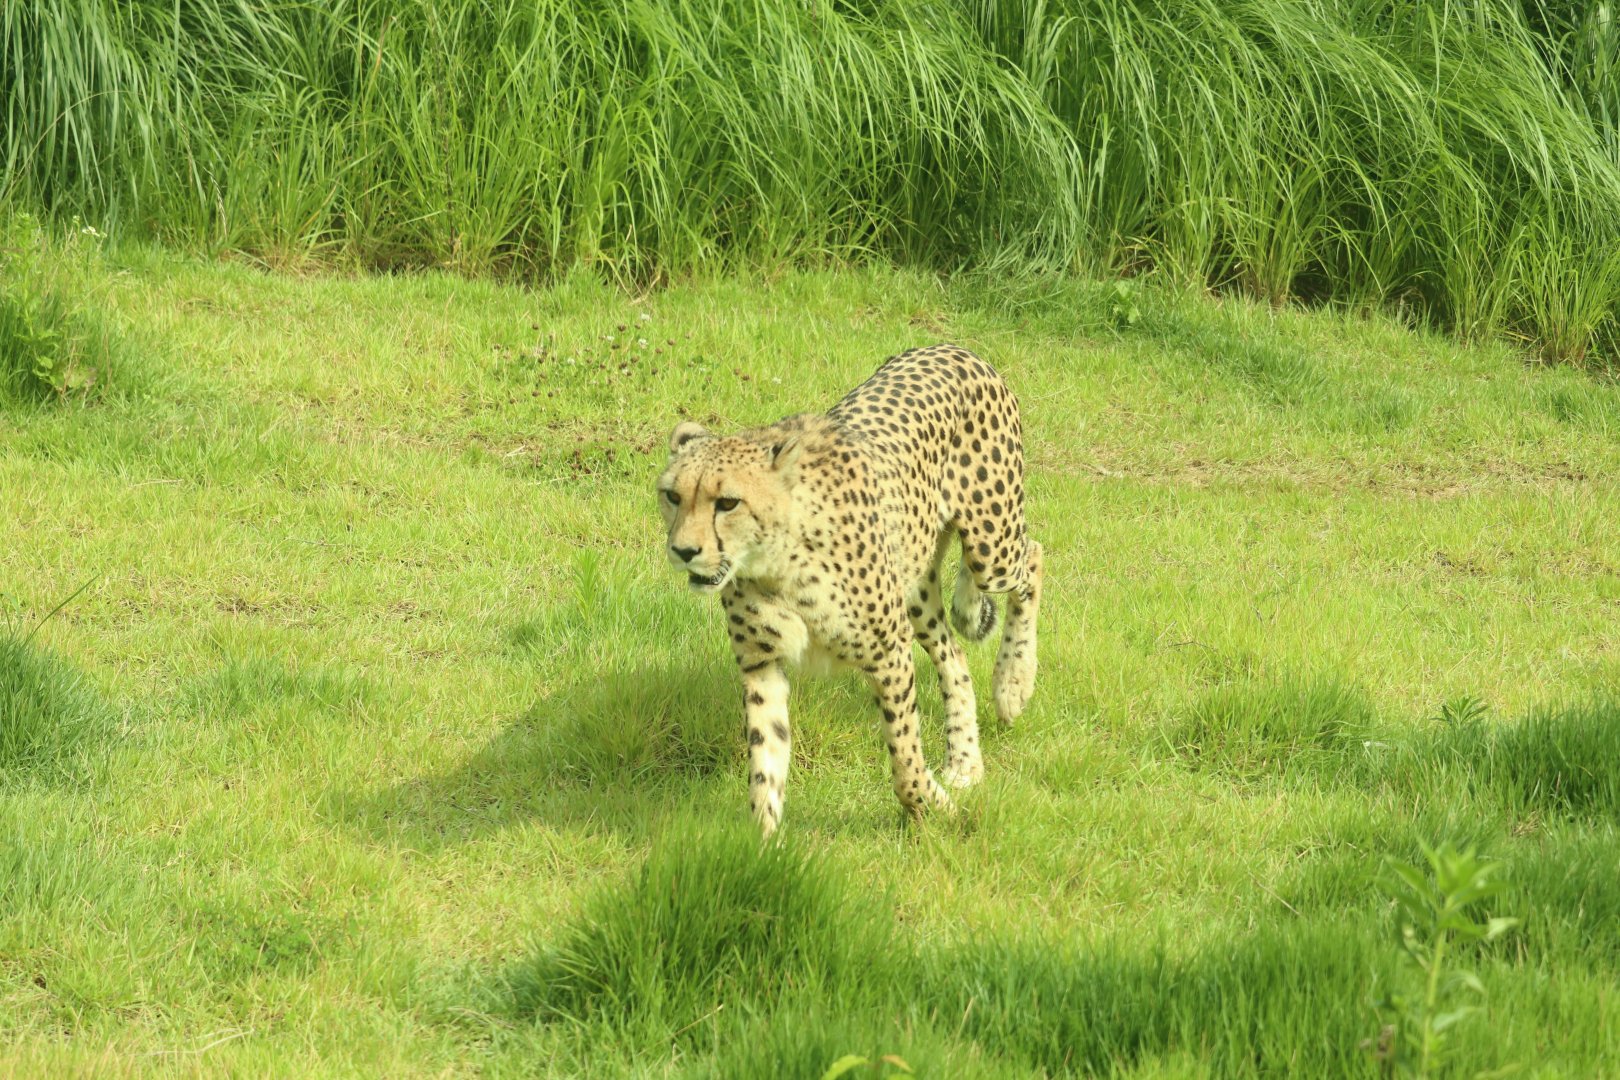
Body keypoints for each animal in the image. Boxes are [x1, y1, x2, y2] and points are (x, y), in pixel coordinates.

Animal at [656, 344, 1043, 837]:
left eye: (727, 502)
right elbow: (765, 765)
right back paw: (964, 762)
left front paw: (933, 809)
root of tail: (951, 348)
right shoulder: (762, 664)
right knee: (953, 655)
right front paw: (763, 844)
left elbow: (905, 760)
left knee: (1033, 560)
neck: (777, 562)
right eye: (672, 496)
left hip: (992, 549)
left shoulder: (889, 653)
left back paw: (1013, 684)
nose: (684, 550)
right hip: (915, 588)